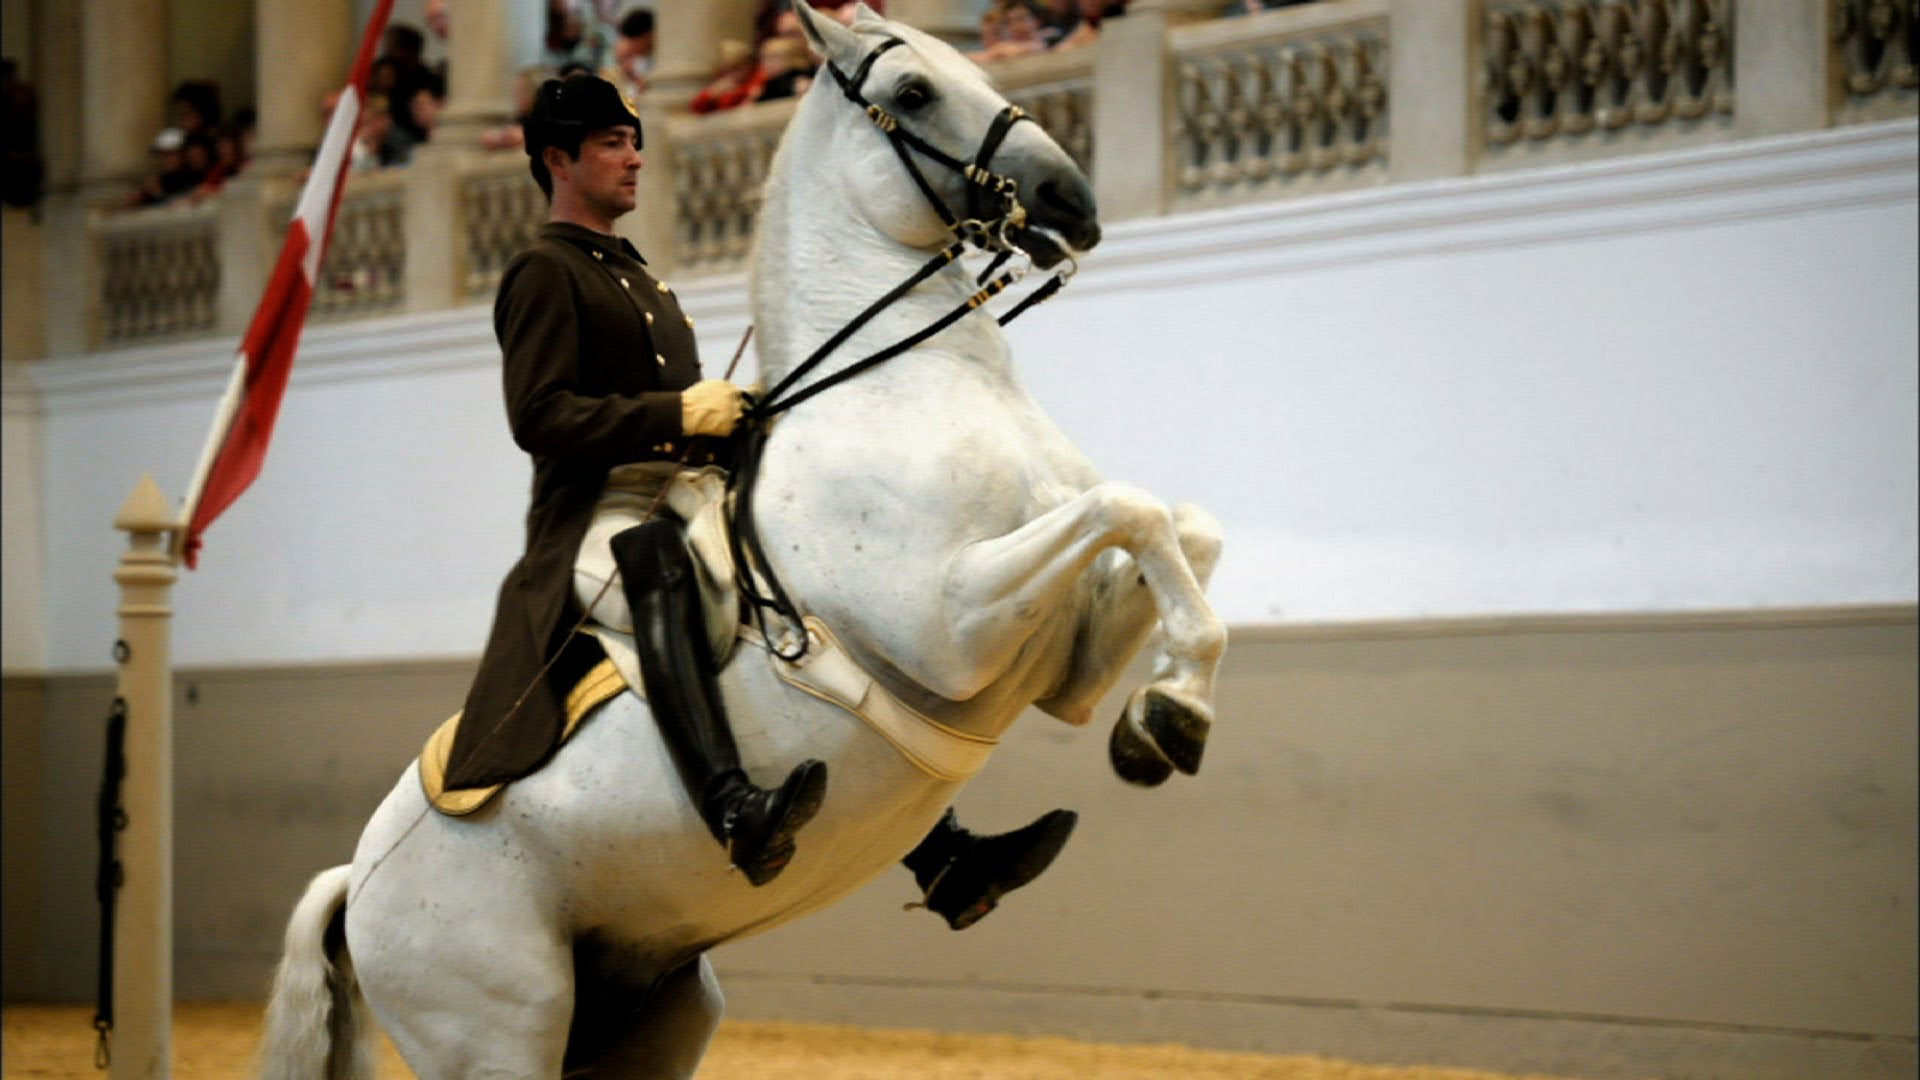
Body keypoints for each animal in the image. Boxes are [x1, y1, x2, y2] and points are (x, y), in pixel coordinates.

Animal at [263, 4, 1228, 1068]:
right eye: (915, 92)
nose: (1073, 199)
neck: (897, 384)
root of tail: (357, 880)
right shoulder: (949, 625)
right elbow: (1131, 509)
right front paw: (1179, 711)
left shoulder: (1065, 666)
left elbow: (1182, 526)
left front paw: (1162, 717)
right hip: (494, 1037)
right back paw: (760, 819)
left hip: (659, 1014)